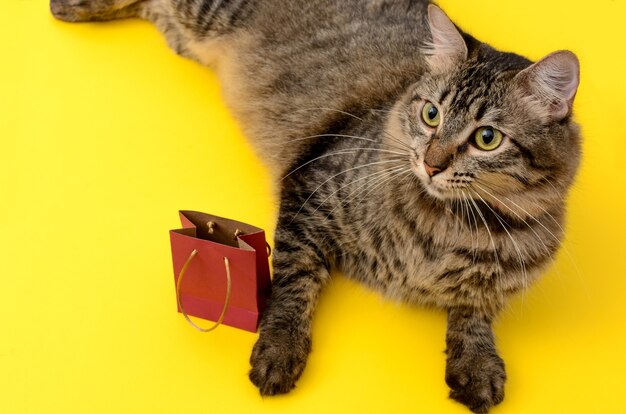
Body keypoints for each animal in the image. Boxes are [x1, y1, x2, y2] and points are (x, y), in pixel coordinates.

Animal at [51, 1, 584, 412]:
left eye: (487, 138)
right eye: (431, 114)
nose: (430, 164)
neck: (446, 225)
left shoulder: (493, 285)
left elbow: (473, 316)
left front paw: (476, 365)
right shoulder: (309, 195)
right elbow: (294, 285)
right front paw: (280, 350)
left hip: (189, 38)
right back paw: (69, 7)